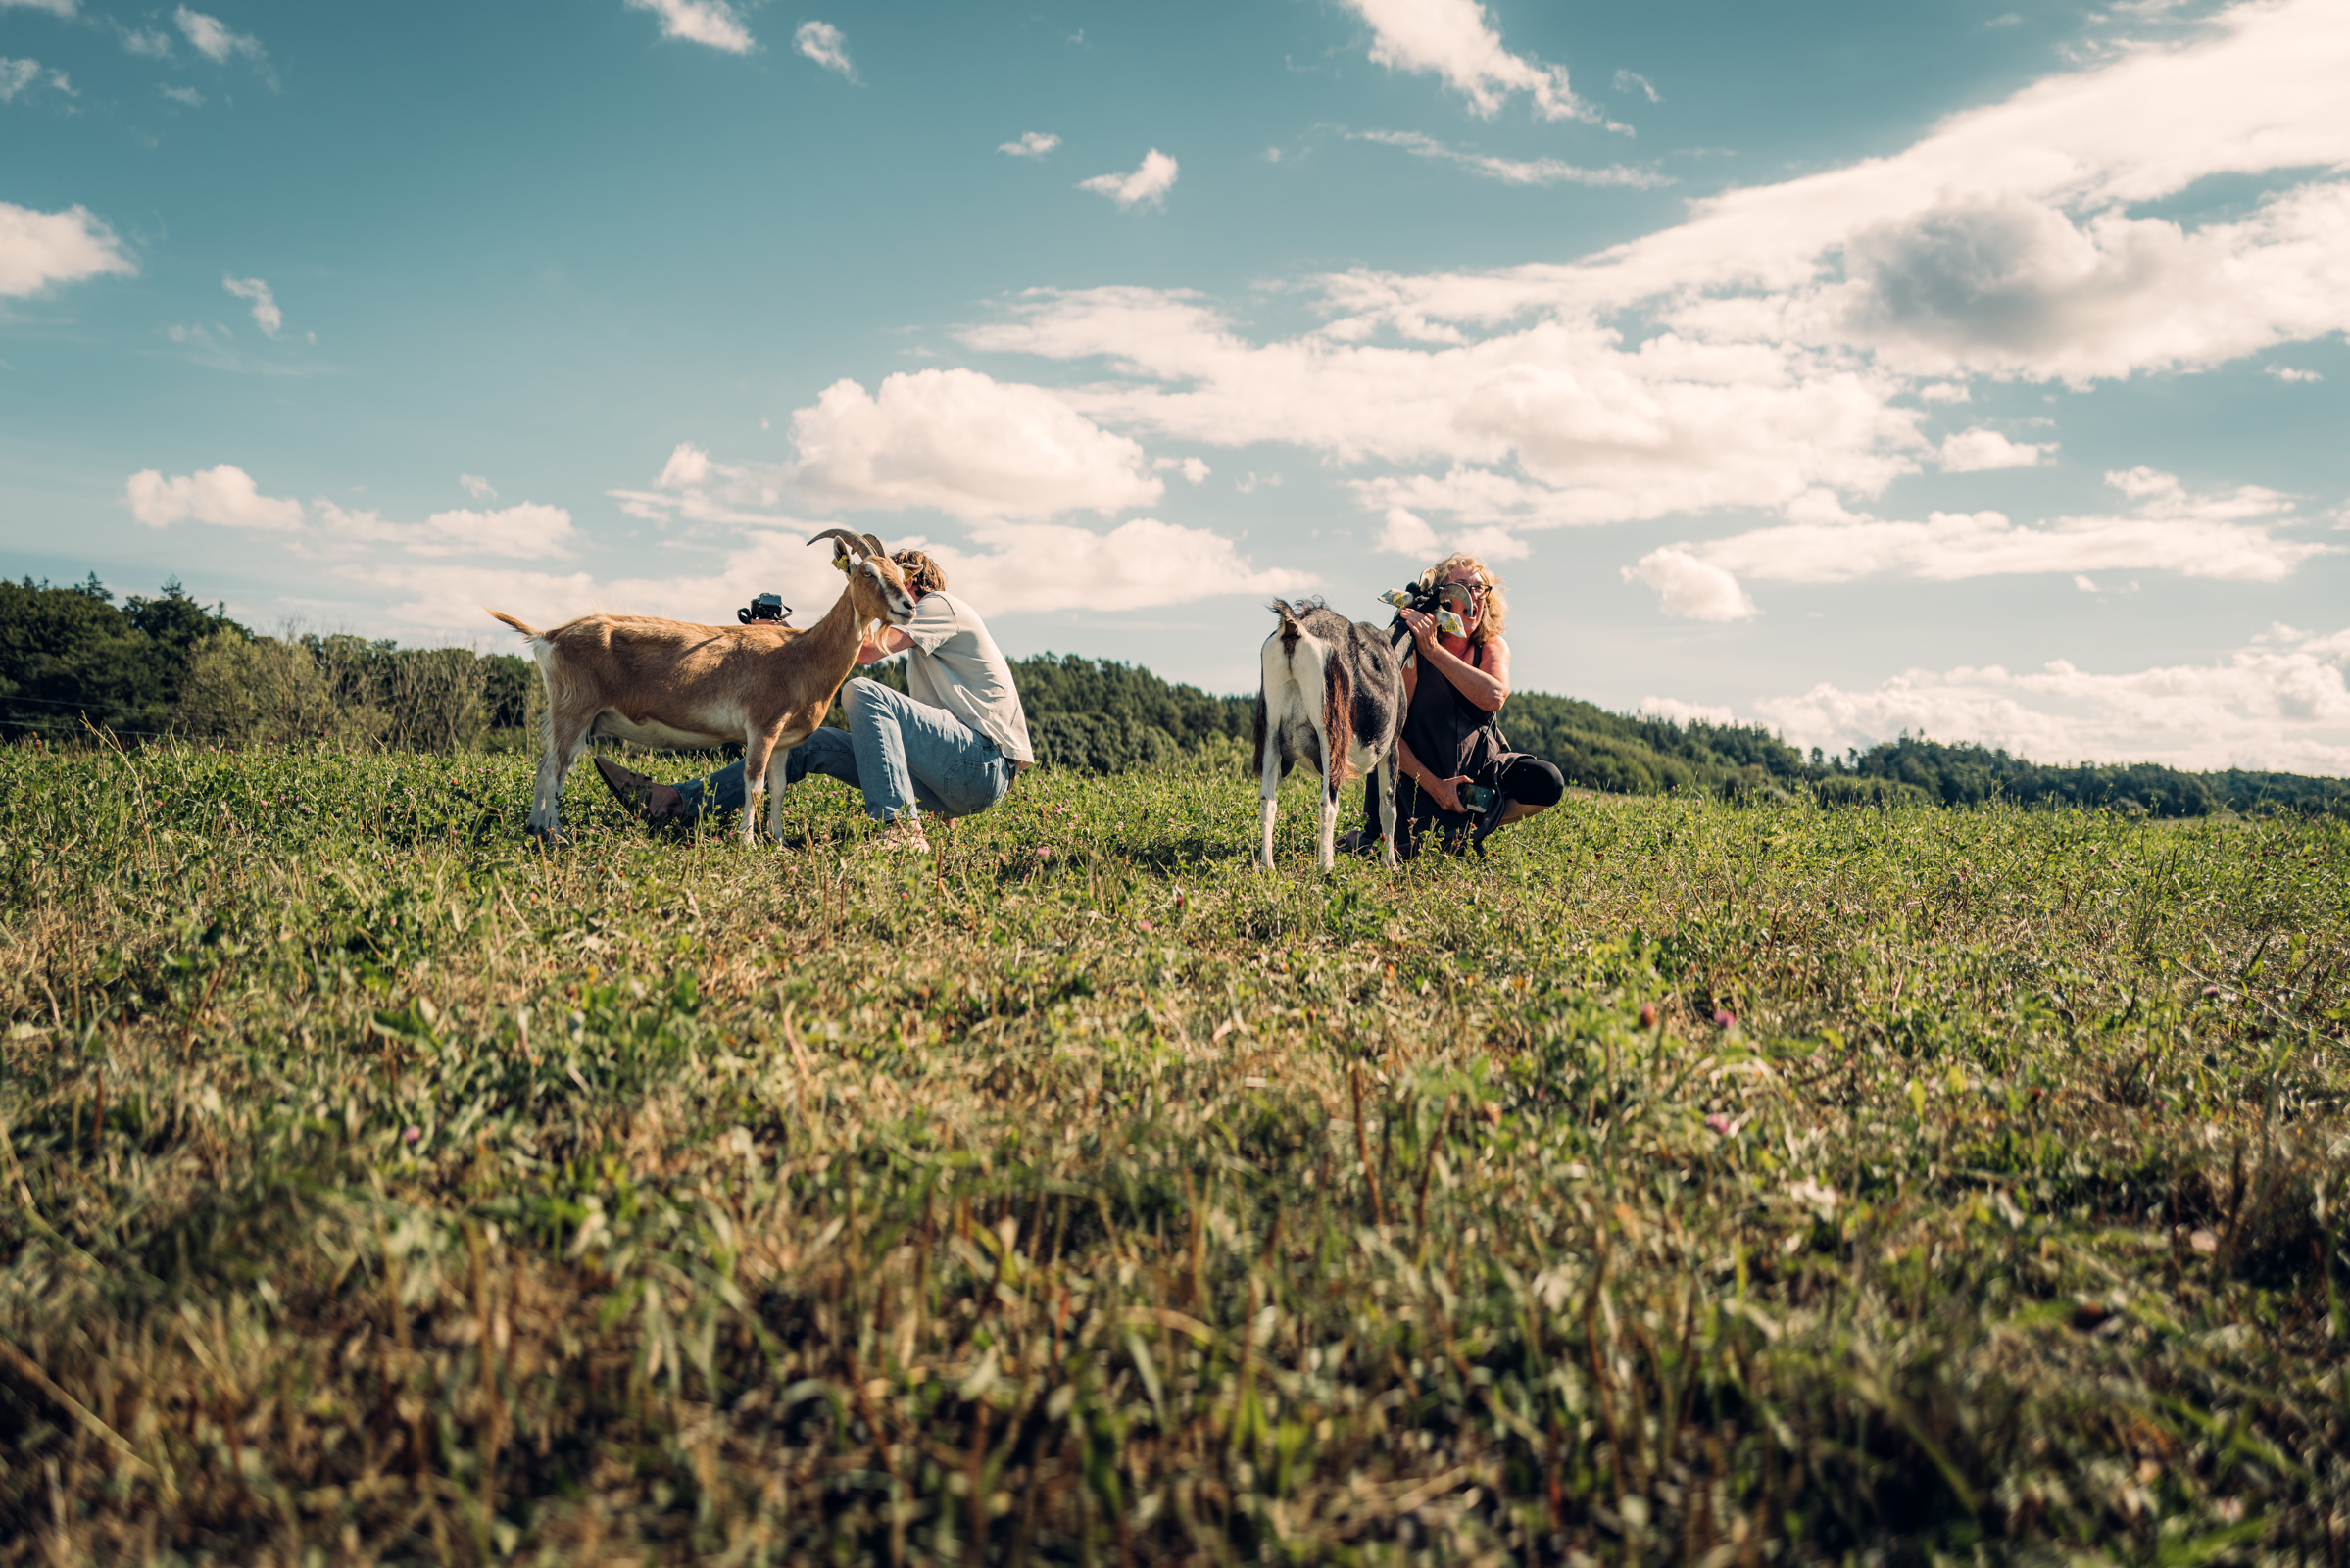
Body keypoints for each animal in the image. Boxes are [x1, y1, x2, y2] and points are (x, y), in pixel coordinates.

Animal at [486, 531, 906, 846]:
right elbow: (754, 785)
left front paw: (780, 842)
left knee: (544, 766)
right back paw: (557, 835)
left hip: (570, 718)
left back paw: (535, 828)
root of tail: (548, 636)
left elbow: (779, 789)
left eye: (901, 574)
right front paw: (748, 844)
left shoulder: (784, 741)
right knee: (554, 771)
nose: (906, 605)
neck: (801, 653)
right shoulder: (762, 727)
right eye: (866, 572)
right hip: (574, 711)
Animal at [1259, 597, 1400, 869]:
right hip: (1329, 733)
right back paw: (1326, 866)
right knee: (1328, 801)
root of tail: (1295, 626)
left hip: (1270, 731)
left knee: (1266, 801)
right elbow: (1388, 805)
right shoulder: (1393, 746)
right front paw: (1390, 863)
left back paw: (1265, 866)